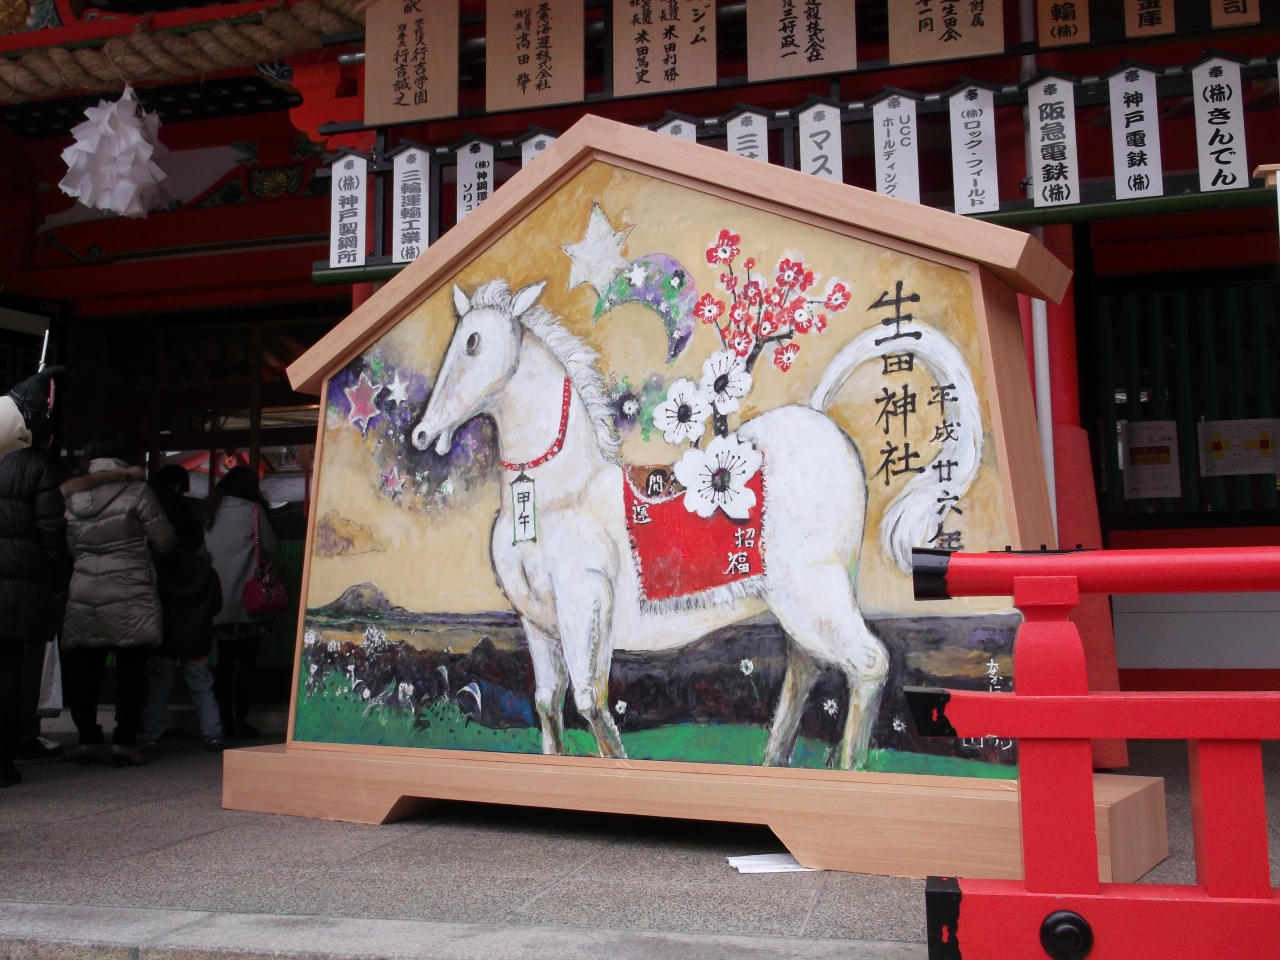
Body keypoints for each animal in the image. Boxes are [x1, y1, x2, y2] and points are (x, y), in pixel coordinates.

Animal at [411, 278, 981, 769]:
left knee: (868, 663)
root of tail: (821, 420)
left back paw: (846, 770)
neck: (555, 495)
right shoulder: (536, 622)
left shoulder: (584, 604)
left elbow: (591, 702)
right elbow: (548, 703)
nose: (422, 433)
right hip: (800, 599)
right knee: (806, 668)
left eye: (473, 343)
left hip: (813, 590)